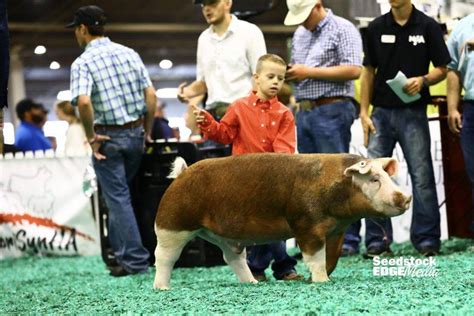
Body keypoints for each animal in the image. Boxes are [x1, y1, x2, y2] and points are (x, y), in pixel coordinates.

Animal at [153, 153, 412, 288]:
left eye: (387, 175)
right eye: (375, 179)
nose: (406, 197)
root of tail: (182, 174)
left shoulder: (337, 230)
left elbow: (331, 258)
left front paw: (321, 278)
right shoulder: (307, 226)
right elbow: (315, 258)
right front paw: (321, 282)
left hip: (224, 236)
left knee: (233, 258)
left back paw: (252, 283)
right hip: (172, 226)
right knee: (164, 257)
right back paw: (162, 288)